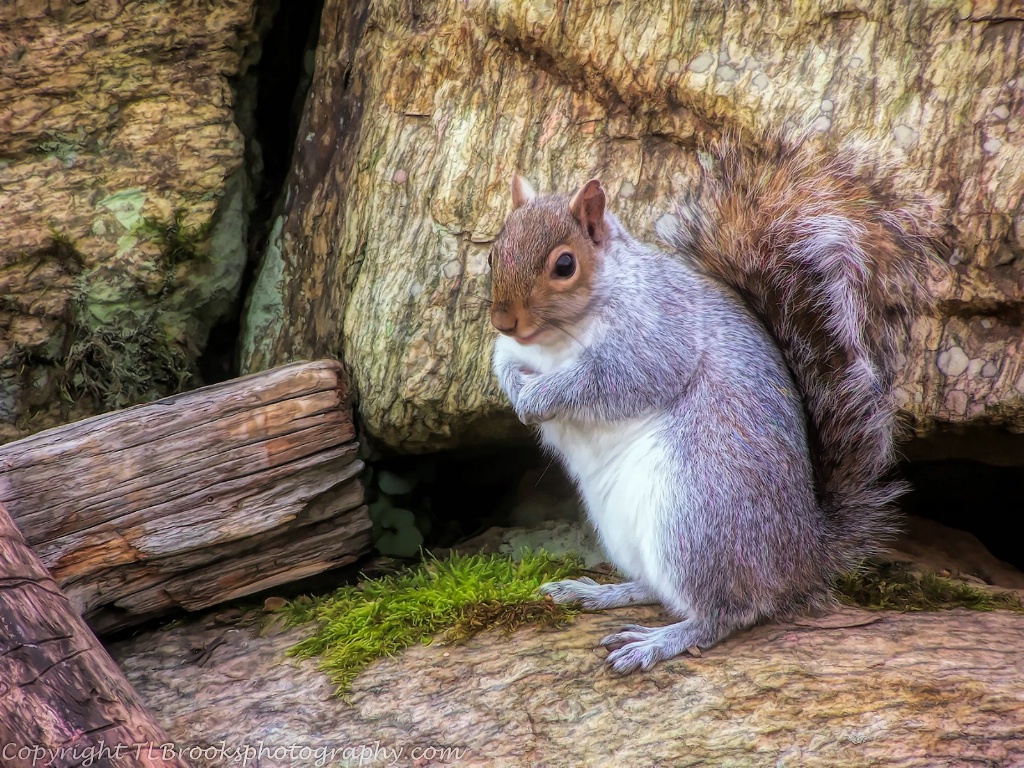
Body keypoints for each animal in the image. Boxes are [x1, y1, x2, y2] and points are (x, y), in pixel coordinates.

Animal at [485, 135, 937, 675]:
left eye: (565, 265)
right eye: (492, 254)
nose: (504, 320)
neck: (555, 340)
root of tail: (802, 558)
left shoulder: (659, 337)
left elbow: (612, 382)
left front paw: (544, 396)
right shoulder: (513, 350)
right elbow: (504, 365)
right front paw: (519, 394)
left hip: (696, 515)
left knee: (727, 611)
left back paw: (658, 641)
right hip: (628, 527)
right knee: (655, 587)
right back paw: (598, 593)